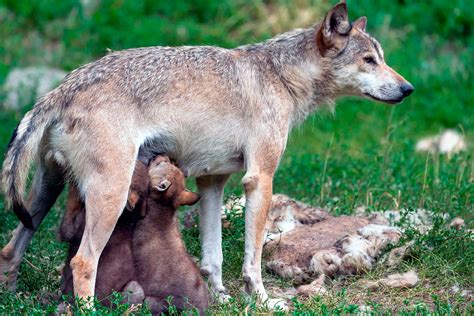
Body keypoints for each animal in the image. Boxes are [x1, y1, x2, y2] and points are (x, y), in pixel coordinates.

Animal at [59, 156, 207, 314]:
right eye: (165, 163)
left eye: (161, 163)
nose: (162, 155)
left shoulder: (71, 229)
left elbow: (72, 199)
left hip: (139, 292)